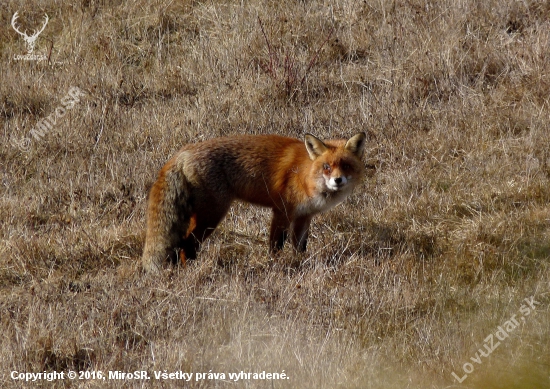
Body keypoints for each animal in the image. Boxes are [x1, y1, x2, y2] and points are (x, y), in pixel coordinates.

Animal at [141, 132, 366, 272]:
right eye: (327, 167)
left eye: (346, 166)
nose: (338, 180)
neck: (305, 175)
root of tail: (184, 152)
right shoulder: (282, 211)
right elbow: (276, 245)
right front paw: (277, 267)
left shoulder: (304, 216)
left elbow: (299, 247)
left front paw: (300, 263)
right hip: (212, 215)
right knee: (186, 244)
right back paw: (192, 271)